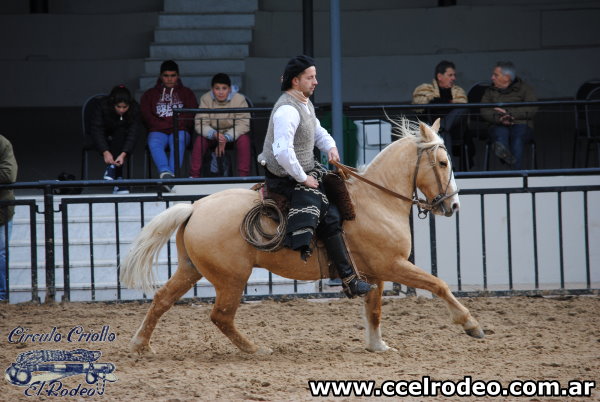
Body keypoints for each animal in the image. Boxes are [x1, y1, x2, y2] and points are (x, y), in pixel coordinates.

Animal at [120, 119, 482, 354]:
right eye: (443, 162)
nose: (453, 205)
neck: (377, 200)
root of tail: (195, 208)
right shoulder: (392, 265)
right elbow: (438, 284)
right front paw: (470, 324)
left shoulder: (375, 273)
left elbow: (374, 309)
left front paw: (377, 345)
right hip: (231, 278)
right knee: (221, 316)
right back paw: (255, 349)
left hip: (191, 269)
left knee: (163, 299)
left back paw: (140, 345)